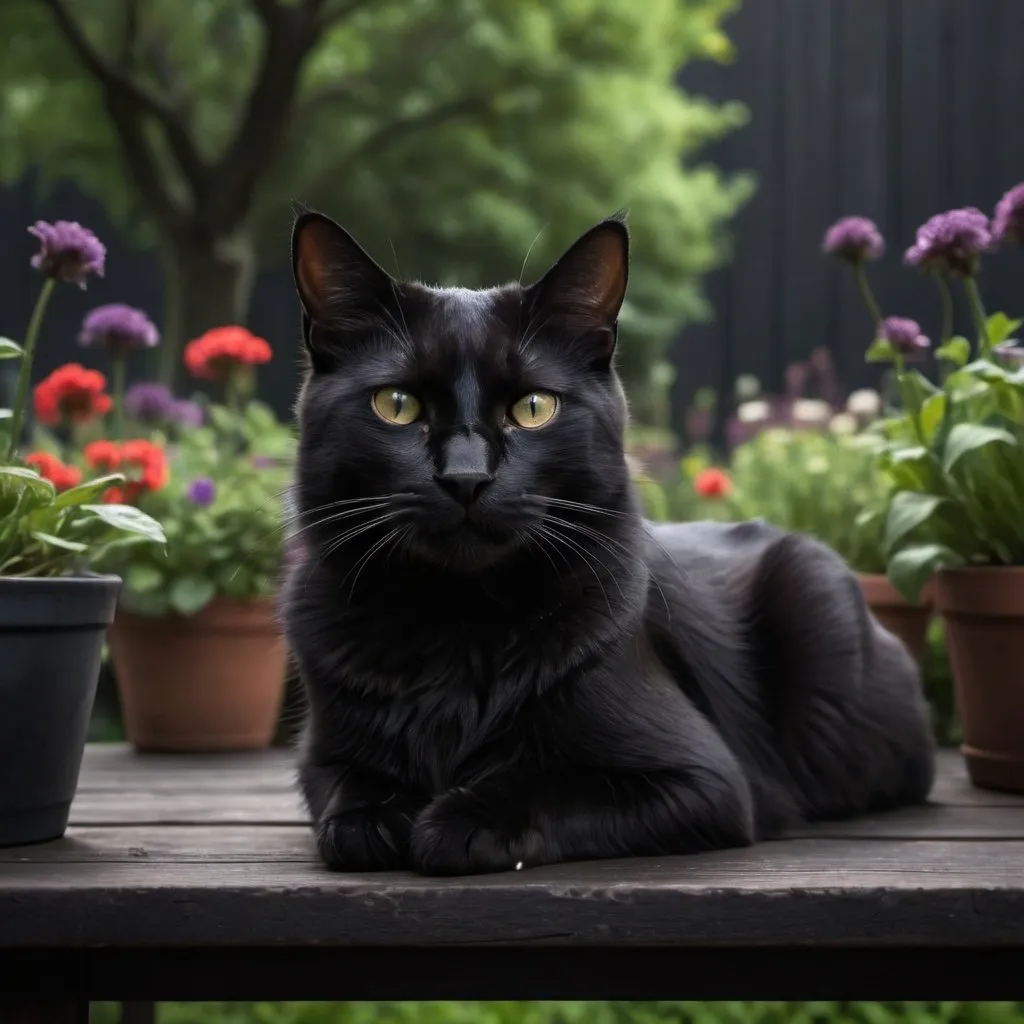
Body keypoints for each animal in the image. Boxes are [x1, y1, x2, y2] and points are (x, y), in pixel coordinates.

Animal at [282, 211, 937, 876]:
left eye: (534, 407)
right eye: (396, 404)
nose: (466, 476)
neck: (458, 623)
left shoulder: (702, 780)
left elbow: (544, 786)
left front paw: (456, 819)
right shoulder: (321, 755)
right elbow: (346, 794)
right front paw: (375, 815)